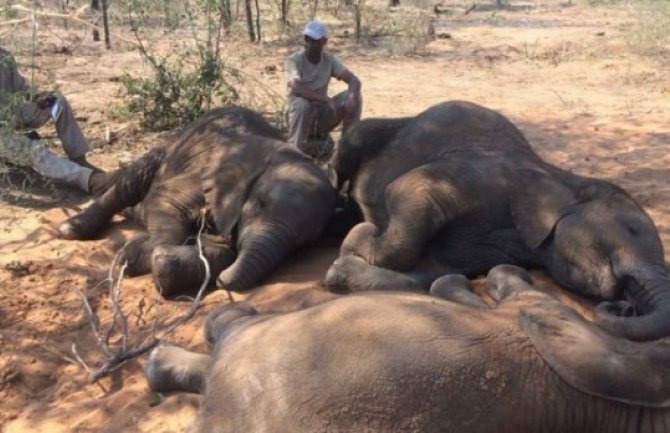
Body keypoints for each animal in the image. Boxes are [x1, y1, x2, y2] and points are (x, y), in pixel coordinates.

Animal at [59, 107, 336, 296]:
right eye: (260, 204)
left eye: (303, 243)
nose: (222, 281)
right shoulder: (204, 174)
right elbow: (165, 200)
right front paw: (133, 257)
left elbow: (223, 250)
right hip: (169, 145)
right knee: (132, 183)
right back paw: (71, 229)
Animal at [326, 100, 670, 340]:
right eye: (632, 229)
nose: (627, 307)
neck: (563, 179)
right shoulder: (485, 176)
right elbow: (408, 189)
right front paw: (360, 235)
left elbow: (430, 271)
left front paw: (342, 269)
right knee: (352, 144)